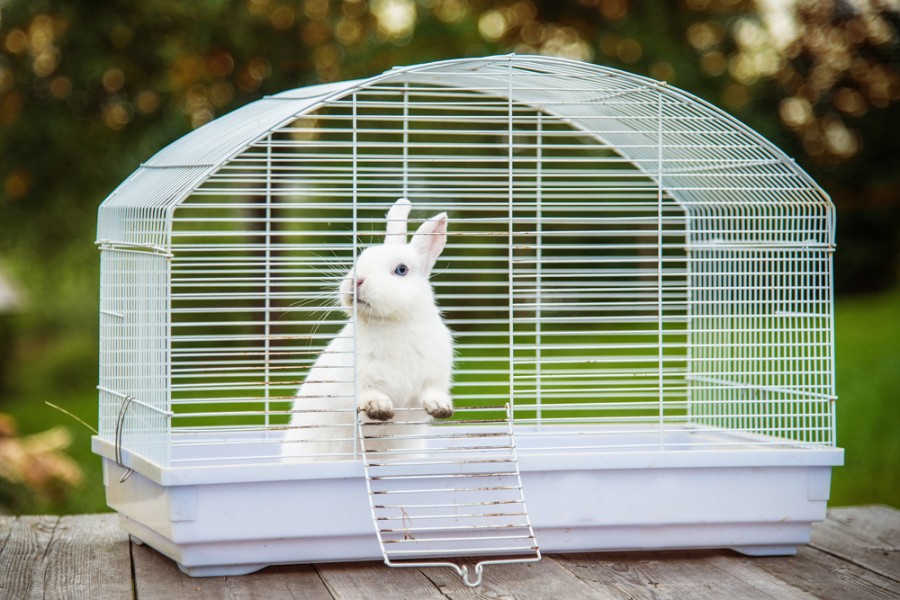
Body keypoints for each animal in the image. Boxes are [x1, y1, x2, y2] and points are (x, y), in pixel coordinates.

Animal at [282, 199, 454, 462]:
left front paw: (442, 408)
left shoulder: (432, 377)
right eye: (360, 258)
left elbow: (431, 394)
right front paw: (379, 409)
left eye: (401, 270)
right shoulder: (356, 382)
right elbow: (366, 396)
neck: (391, 321)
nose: (356, 281)